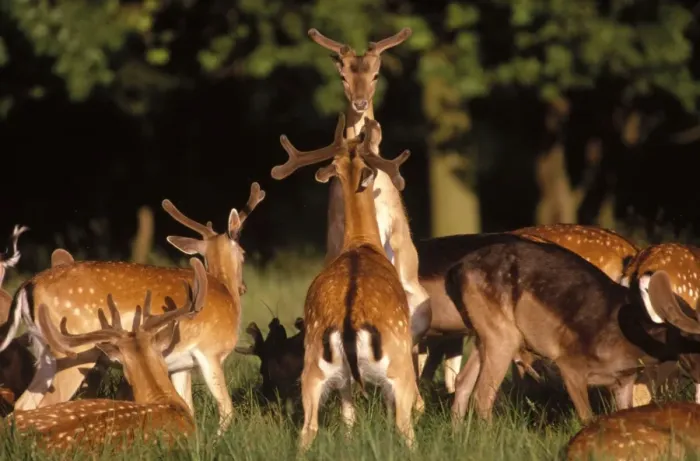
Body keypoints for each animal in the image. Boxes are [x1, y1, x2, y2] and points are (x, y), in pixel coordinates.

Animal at [273, 113, 419, 450]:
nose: (371, 125)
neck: (362, 243)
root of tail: (350, 323)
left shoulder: (344, 380)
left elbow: (348, 417)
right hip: (399, 363)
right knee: (404, 426)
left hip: (314, 366)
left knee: (308, 428)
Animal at [443, 233, 700, 426]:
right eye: (692, 341)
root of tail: (456, 270)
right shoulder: (570, 363)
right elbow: (587, 418)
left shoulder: (623, 381)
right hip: (503, 337)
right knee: (483, 394)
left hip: (484, 333)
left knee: (463, 382)